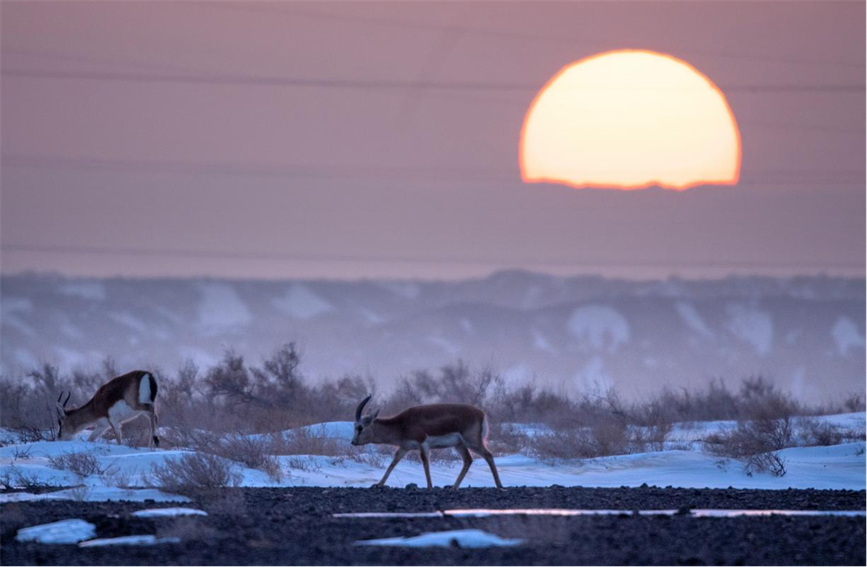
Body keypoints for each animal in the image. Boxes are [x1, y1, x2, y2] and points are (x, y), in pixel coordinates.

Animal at [351, 395, 503, 489]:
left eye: (360, 427)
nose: (353, 442)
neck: (402, 424)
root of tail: (481, 414)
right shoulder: (404, 447)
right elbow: (393, 463)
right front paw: (378, 484)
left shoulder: (423, 444)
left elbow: (425, 463)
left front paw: (430, 486)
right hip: (459, 445)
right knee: (468, 460)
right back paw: (453, 487)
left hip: (472, 442)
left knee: (488, 455)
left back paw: (499, 486)